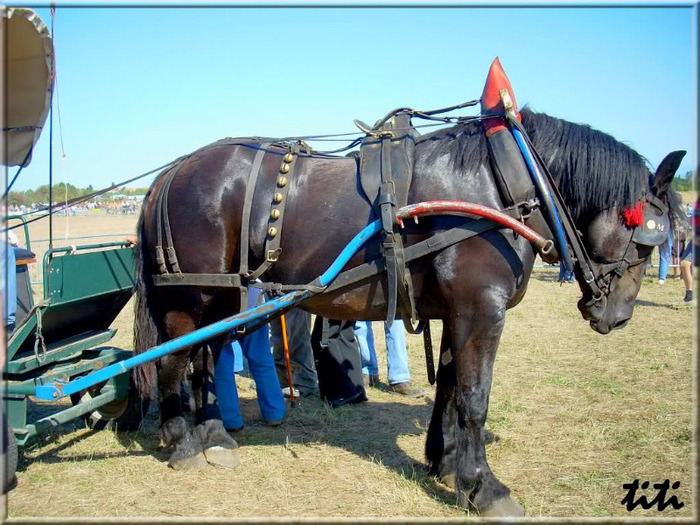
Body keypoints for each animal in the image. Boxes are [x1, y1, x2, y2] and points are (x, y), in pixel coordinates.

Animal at [133, 109, 684, 516]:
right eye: (647, 240)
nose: (618, 315)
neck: (501, 185)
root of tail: (171, 171)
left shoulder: (457, 312)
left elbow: (449, 389)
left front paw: (447, 465)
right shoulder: (482, 311)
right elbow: (475, 399)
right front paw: (486, 488)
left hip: (221, 299)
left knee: (204, 361)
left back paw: (214, 437)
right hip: (192, 298)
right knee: (173, 363)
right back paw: (182, 445)